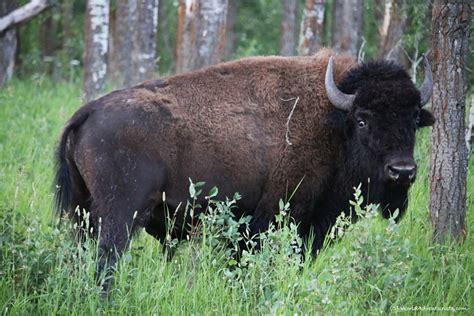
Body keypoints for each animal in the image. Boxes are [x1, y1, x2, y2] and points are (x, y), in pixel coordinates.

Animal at [54, 48, 434, 292]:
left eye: (414, 117)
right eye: (363, 119)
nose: (402, 171)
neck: (331, 124)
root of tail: (86, 112)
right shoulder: (279, 220)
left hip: (80, 213)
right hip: (119, 216)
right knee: (106, 263)